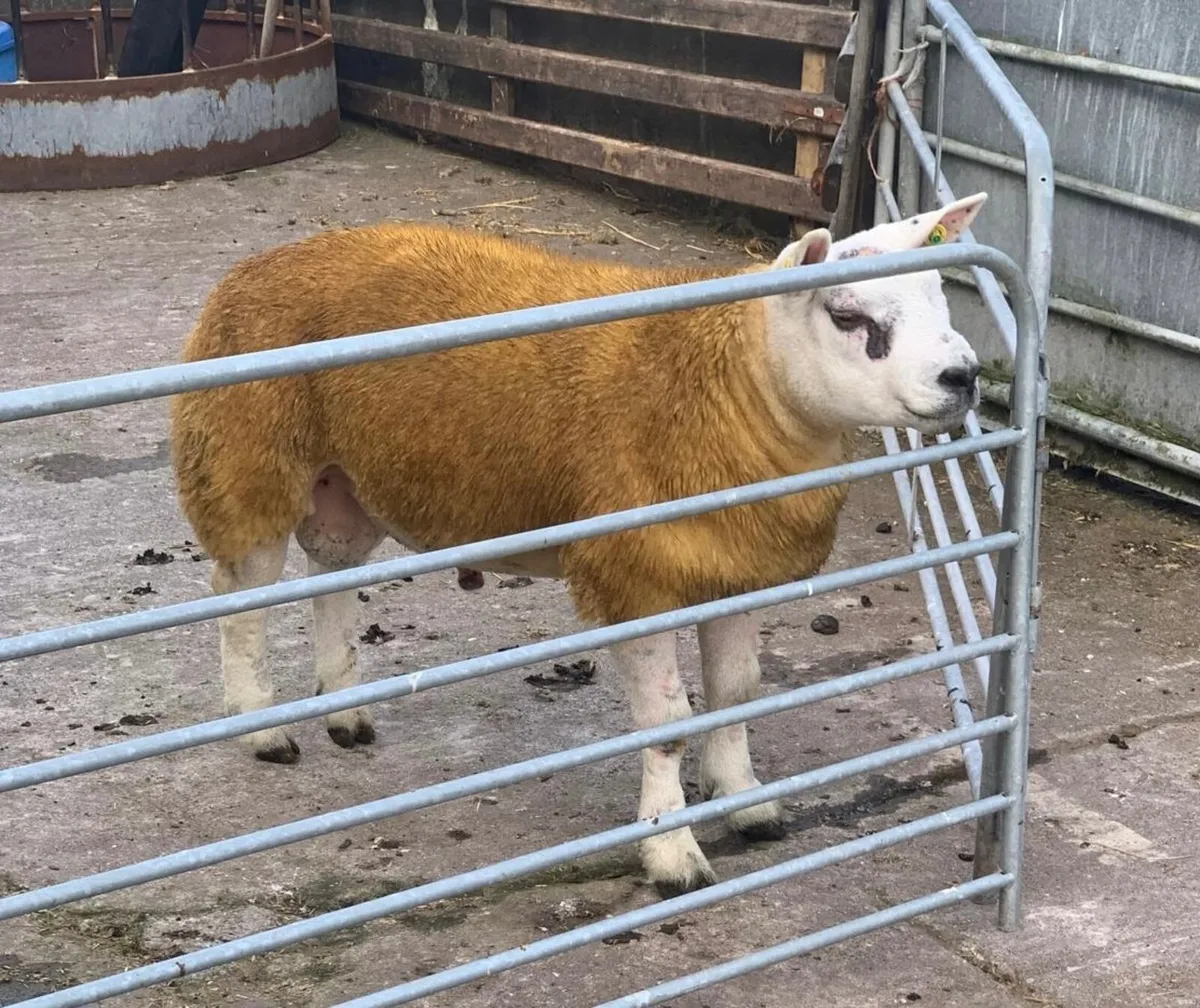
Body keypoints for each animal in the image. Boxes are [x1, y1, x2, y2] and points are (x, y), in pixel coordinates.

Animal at [169, 192, 986, 895]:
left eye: (940, 297)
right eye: (847, 314)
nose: (964, 376)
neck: (732, 379)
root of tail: (259, 262)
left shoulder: (736, 565)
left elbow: (736, 695)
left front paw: (748, 804)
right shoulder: (637, 574)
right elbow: (668, 726)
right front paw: (671, 852)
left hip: (344, 477)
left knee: (330, 571)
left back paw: (344, 710)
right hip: (245, 451)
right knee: (241, 594)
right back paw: (261, 728)